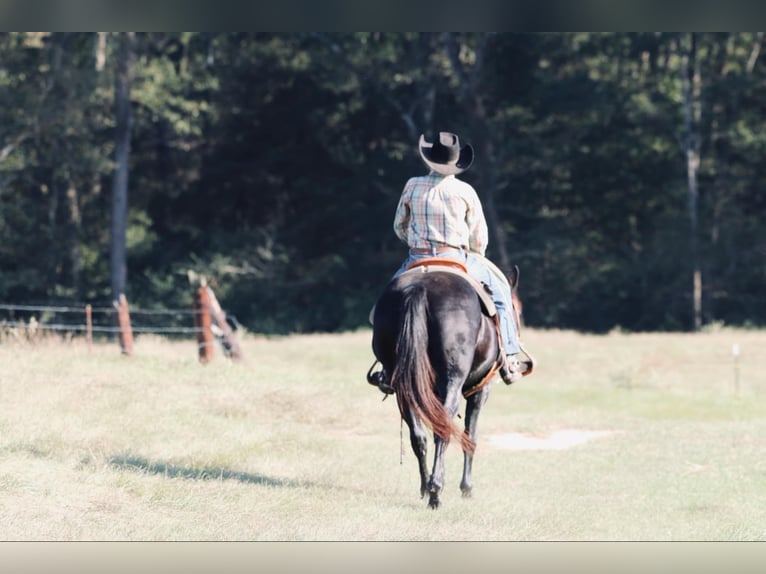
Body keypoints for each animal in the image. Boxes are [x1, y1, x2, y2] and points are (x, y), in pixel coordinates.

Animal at [370, 264, 524, 510]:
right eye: (517, 310)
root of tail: (420, 288)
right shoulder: (481, 390)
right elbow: (471, 436)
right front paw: (467, 488)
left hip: (404, 384)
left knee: (418, 436)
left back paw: (425, 488)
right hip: (453, 379)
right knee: (443, 425)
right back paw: (436, 492)